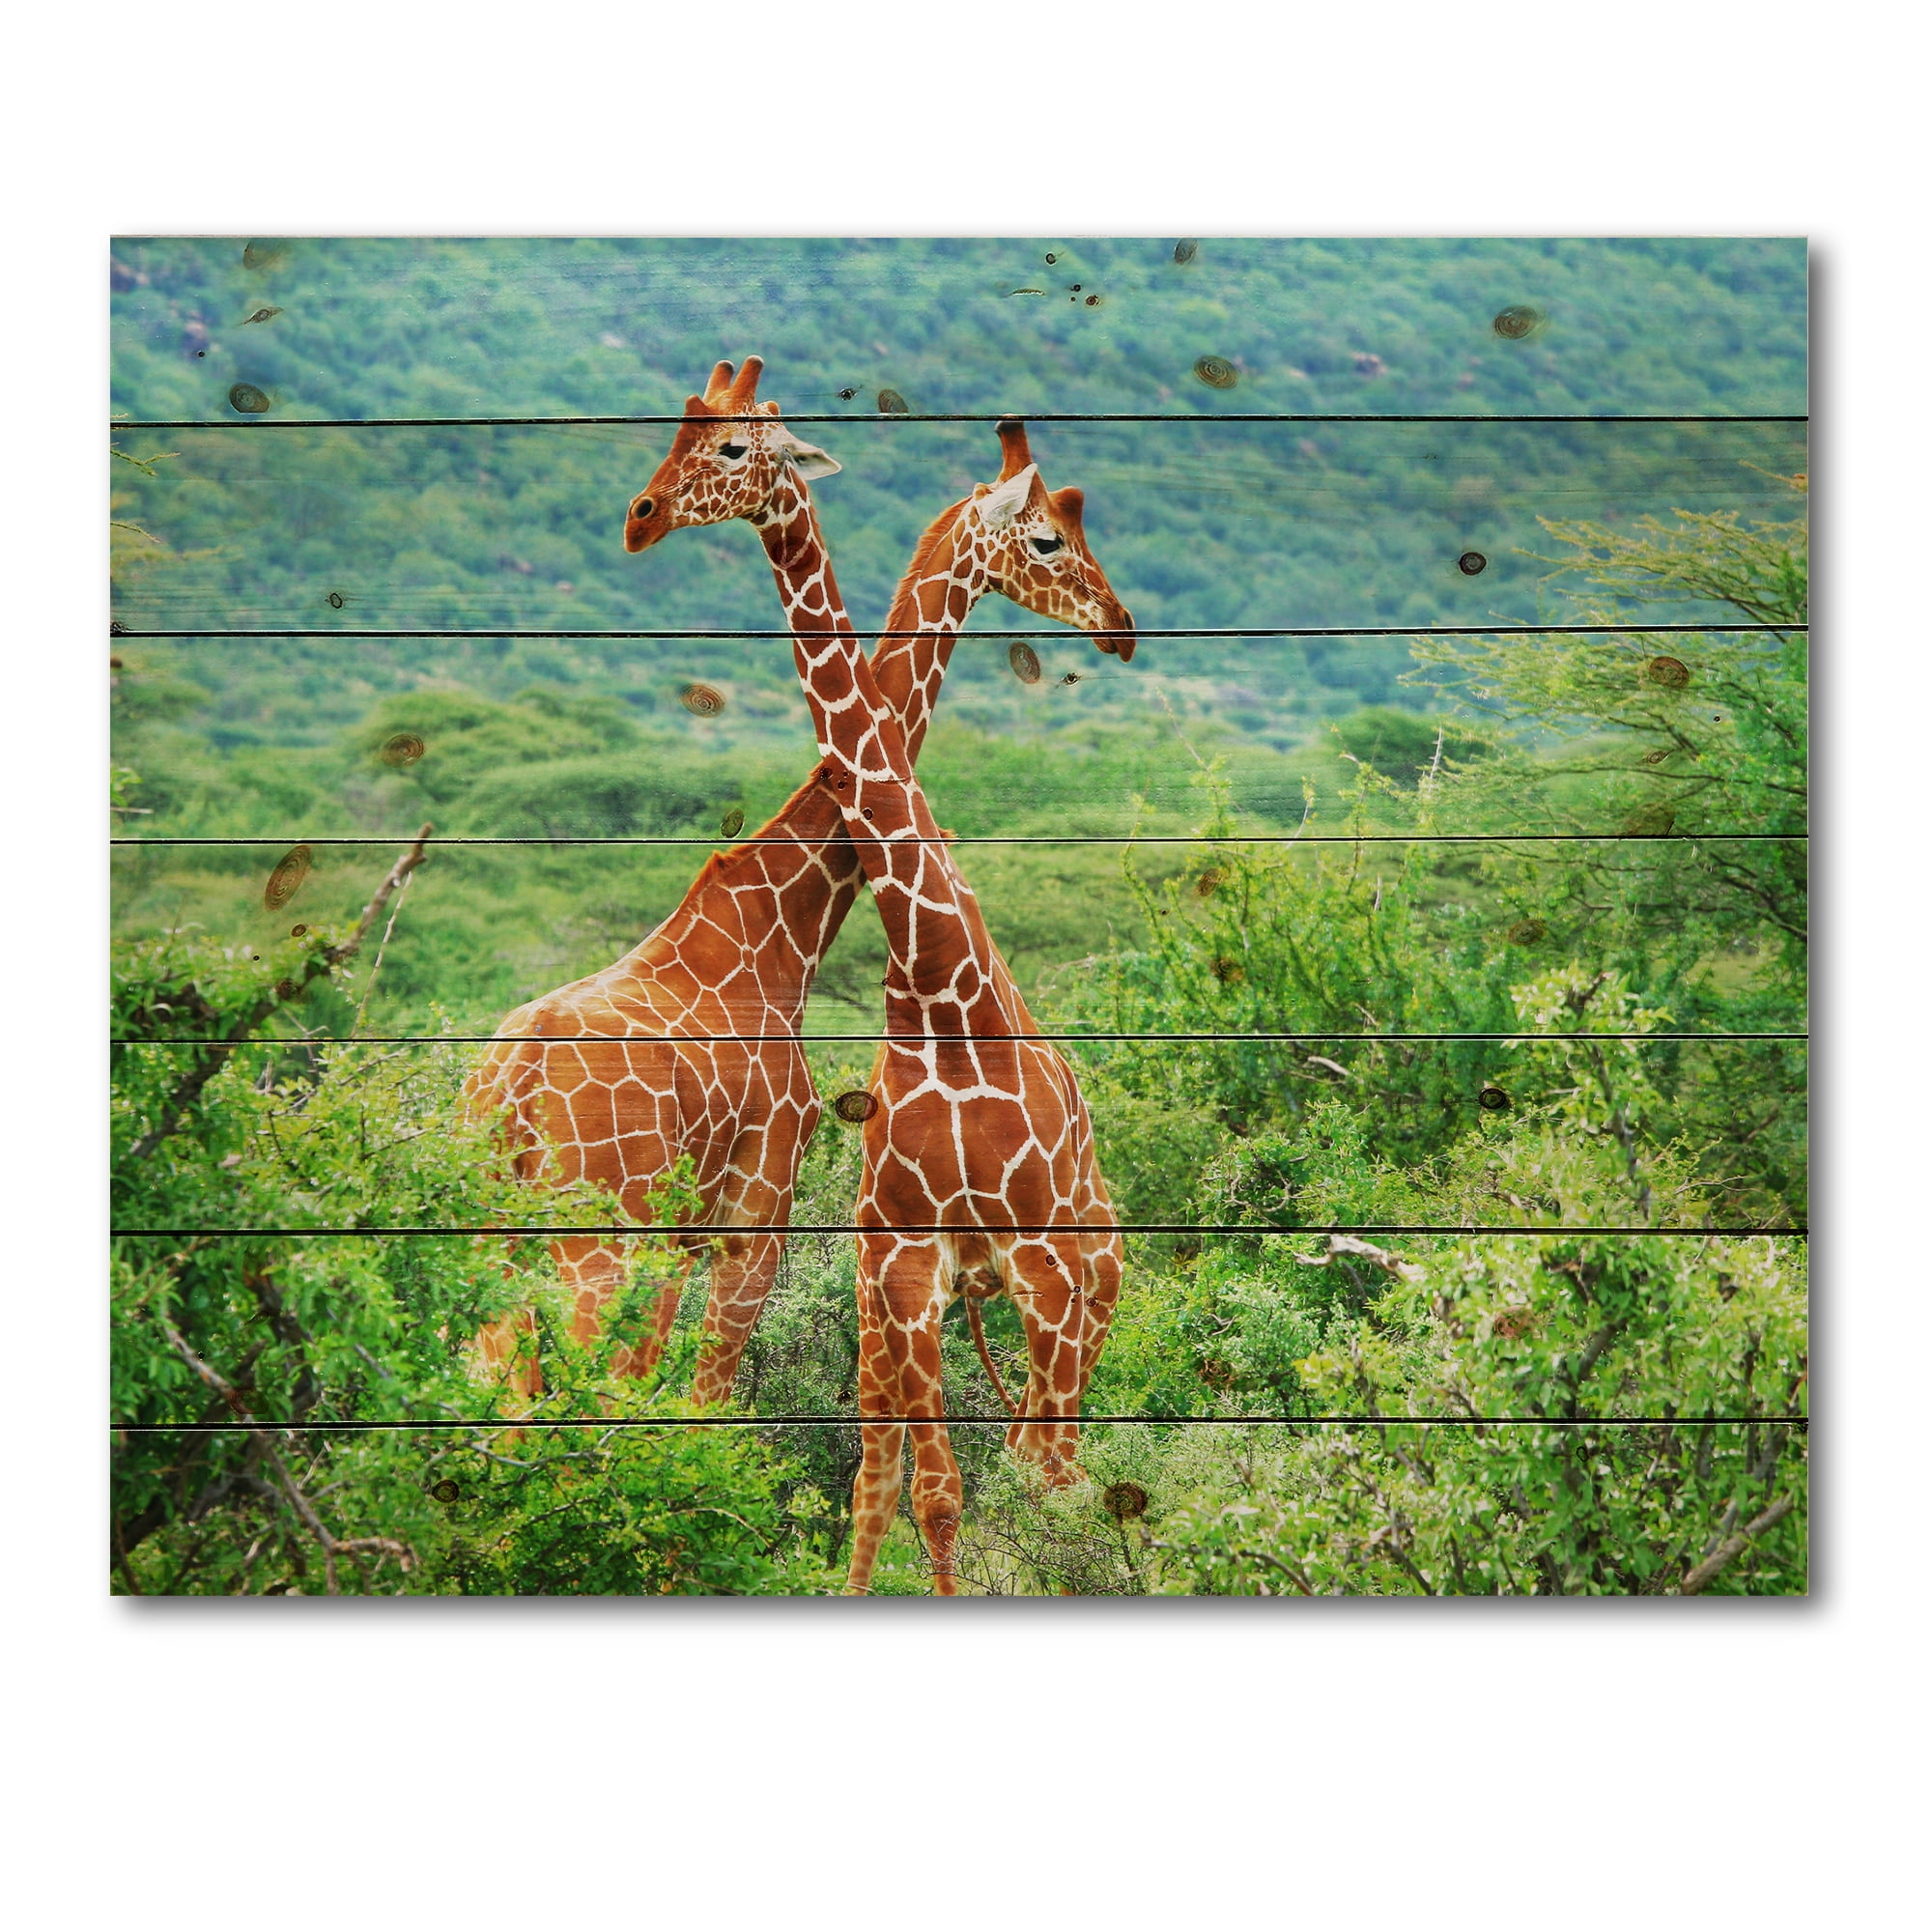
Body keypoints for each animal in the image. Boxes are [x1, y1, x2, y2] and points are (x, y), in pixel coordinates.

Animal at [464, 359, 1131, 1420]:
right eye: (1048, 537)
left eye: (726, 442)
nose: (641, 517)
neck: (782, 929)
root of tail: (510, 1088)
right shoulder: (753, 1214)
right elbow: (696, 1405)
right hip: (594, 1238)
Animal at [622, 357, 1134, 1594]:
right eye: (1049, 536)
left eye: (731, 447)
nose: (1121, 628)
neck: (941, 986)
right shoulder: (900, 1260)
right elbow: (917, 1487)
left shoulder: (1040, 1267)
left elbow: (1021, 1476)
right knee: (913, 1466)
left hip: (1088, 1279)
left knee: (1059, 1462)